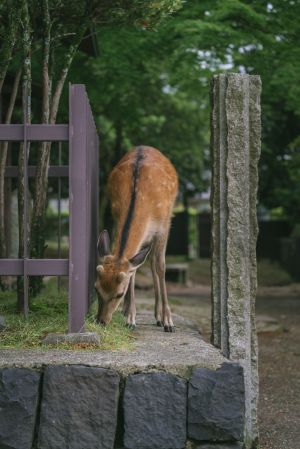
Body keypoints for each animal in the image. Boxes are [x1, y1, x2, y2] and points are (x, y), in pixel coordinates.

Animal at [94, 145, 178, 330]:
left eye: (119, 293)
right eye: (96, 288)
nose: (101, 321)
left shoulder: (163, 226)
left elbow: (161, 267)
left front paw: (168, 321)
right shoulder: (116, 216)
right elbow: (132, 271)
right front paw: (131, 319)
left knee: (154, 263)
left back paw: (159, 316)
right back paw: (128, 311)